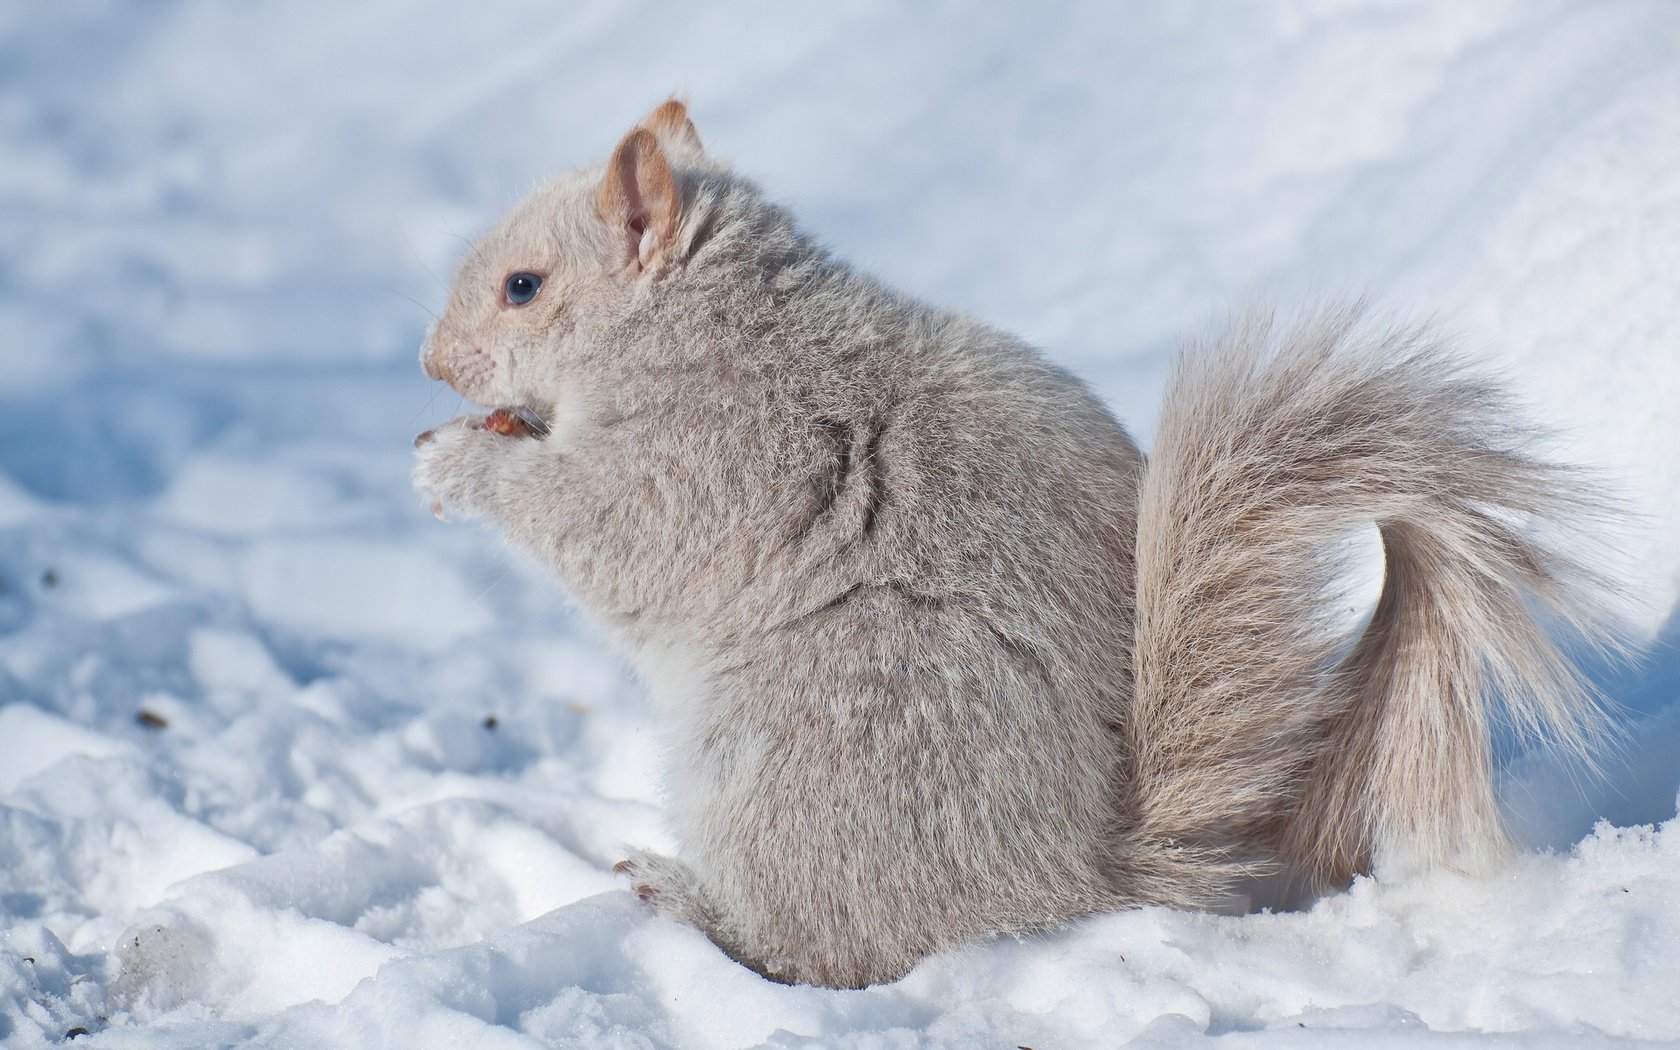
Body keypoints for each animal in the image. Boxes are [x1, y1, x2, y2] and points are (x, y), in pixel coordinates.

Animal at [413, 100, 1619, 987]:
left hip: (814, 745)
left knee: (829, 945)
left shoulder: (723, 457)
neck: (703, 330)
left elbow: (610, 530)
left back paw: (691, 901)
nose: (430, 365)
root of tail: (1077, 871)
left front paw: (452, 465)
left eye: (524, 286)